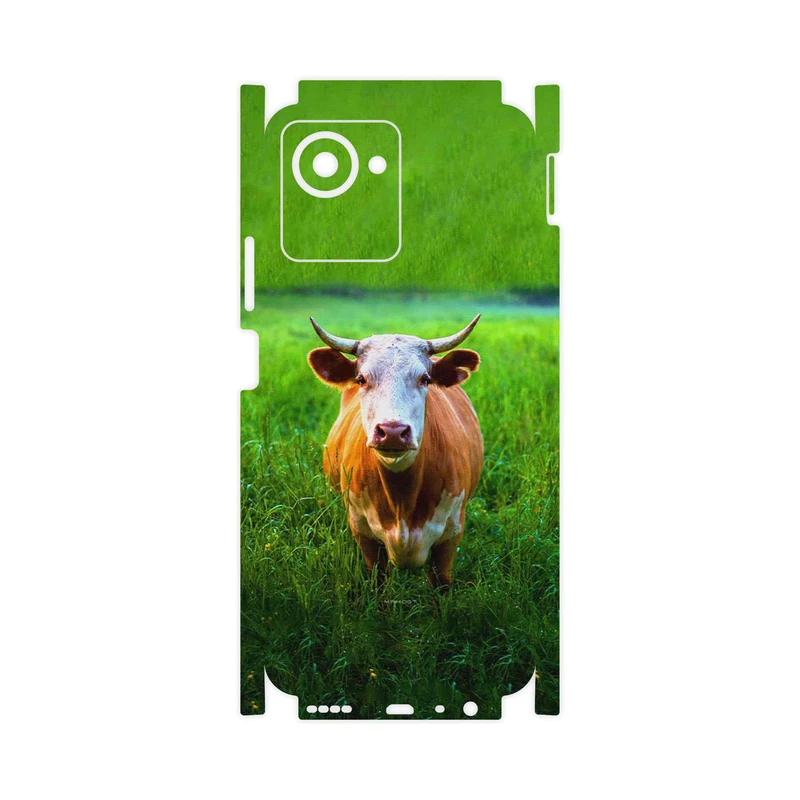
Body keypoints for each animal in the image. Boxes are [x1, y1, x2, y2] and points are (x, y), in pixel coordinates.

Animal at [307, 315, 484, 590]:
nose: (392, 431)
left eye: (425, 379)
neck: (402, 500)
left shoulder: (451, 535)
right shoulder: (364, 533)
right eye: (361, 379)